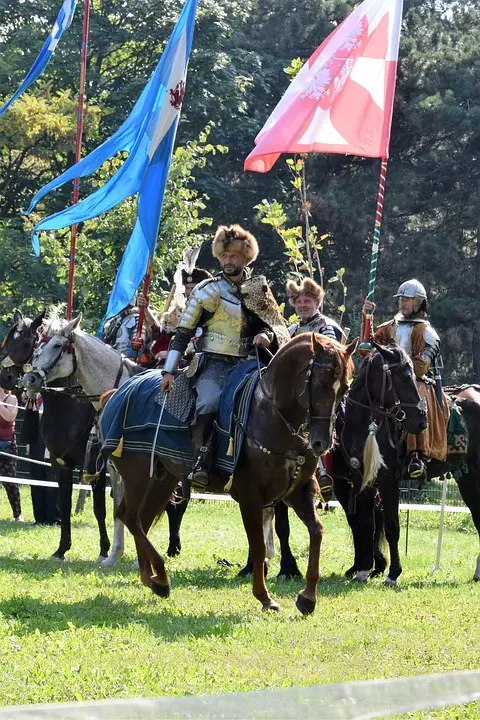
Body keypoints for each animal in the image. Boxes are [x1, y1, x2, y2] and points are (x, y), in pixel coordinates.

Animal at [98, 332, 356, 612]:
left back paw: (152, 578)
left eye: (345, 388)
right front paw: (265, 597)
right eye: (320, 384)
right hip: (137, 476)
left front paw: (308, 597)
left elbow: (316, 531)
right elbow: (258, 546)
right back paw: (160, 575)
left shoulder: (298, 492)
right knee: (130, 517)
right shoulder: (250, 495)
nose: (322, 443)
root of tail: (118, 393)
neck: (271, 414)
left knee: (139, 521)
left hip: (161, 481)